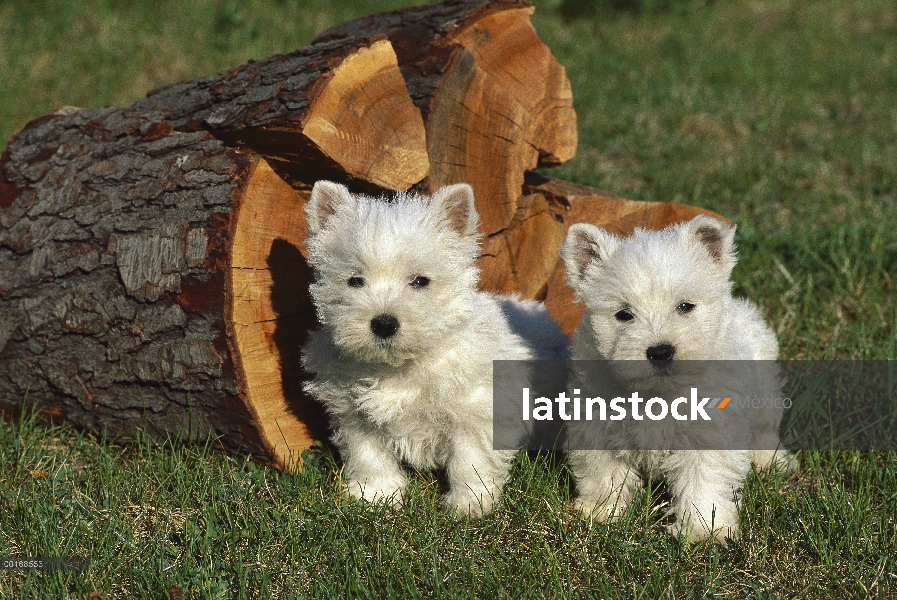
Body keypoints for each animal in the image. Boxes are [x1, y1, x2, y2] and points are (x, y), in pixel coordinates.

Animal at [300, 178, 568, 516]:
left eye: (420, 281)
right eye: (355, 280)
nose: (384, 323)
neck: (400, 368)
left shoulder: (477, 412)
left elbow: (470, 461)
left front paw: (469, 505)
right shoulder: (353, 413)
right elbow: (369, 454)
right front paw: (376, 495)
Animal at [556, 216, 796, 544]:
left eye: (685, 307)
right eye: (623, 314)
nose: (660, 351)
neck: (657, 394)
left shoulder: (708, 435)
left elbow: (703, 483)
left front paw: (704, 530)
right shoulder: (596, 426)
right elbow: (603, 474)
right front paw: (602, 511)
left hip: (765, 395)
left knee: (764, 431)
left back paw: (773, 462)